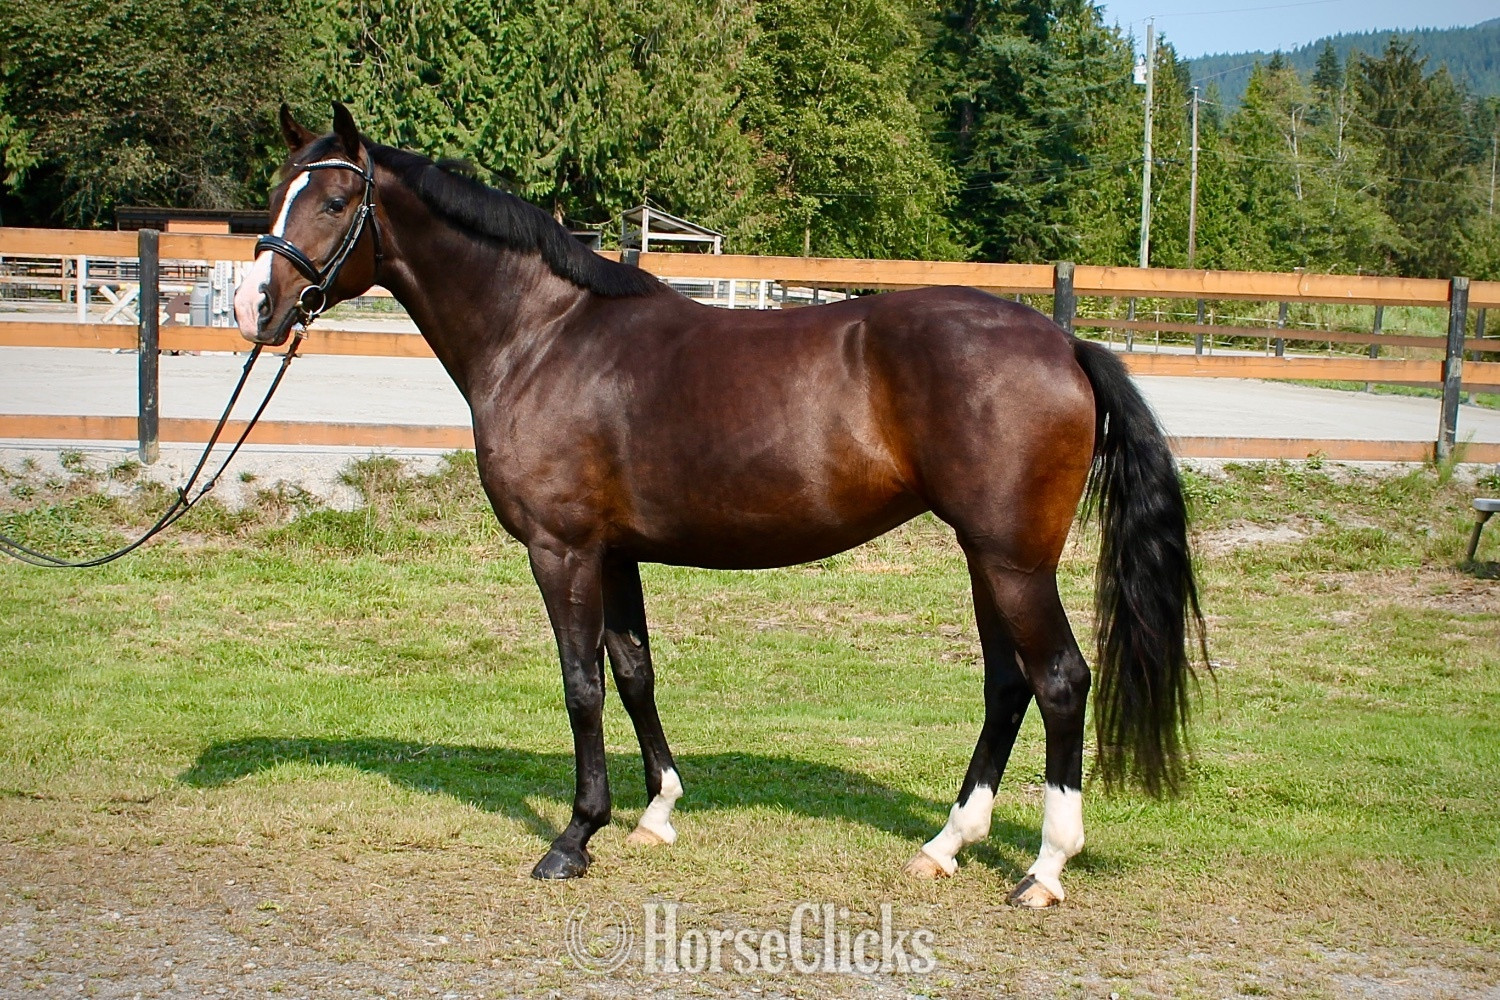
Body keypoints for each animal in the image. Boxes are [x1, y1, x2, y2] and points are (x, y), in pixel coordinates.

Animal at [235, 103, 1205, 908]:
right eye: (274, 198)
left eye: (333, 201)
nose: (256, 307)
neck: (544, 335)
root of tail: (1067, 345)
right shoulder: (614, 551)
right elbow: (633, 671)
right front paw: (656, 811)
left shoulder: (562, 549)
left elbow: (581, 683)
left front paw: (575, 837)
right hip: (986, 558)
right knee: (1008, 686)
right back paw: (945, 845)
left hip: (1013, 560)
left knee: (1060, 681)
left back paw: (1043, 869)